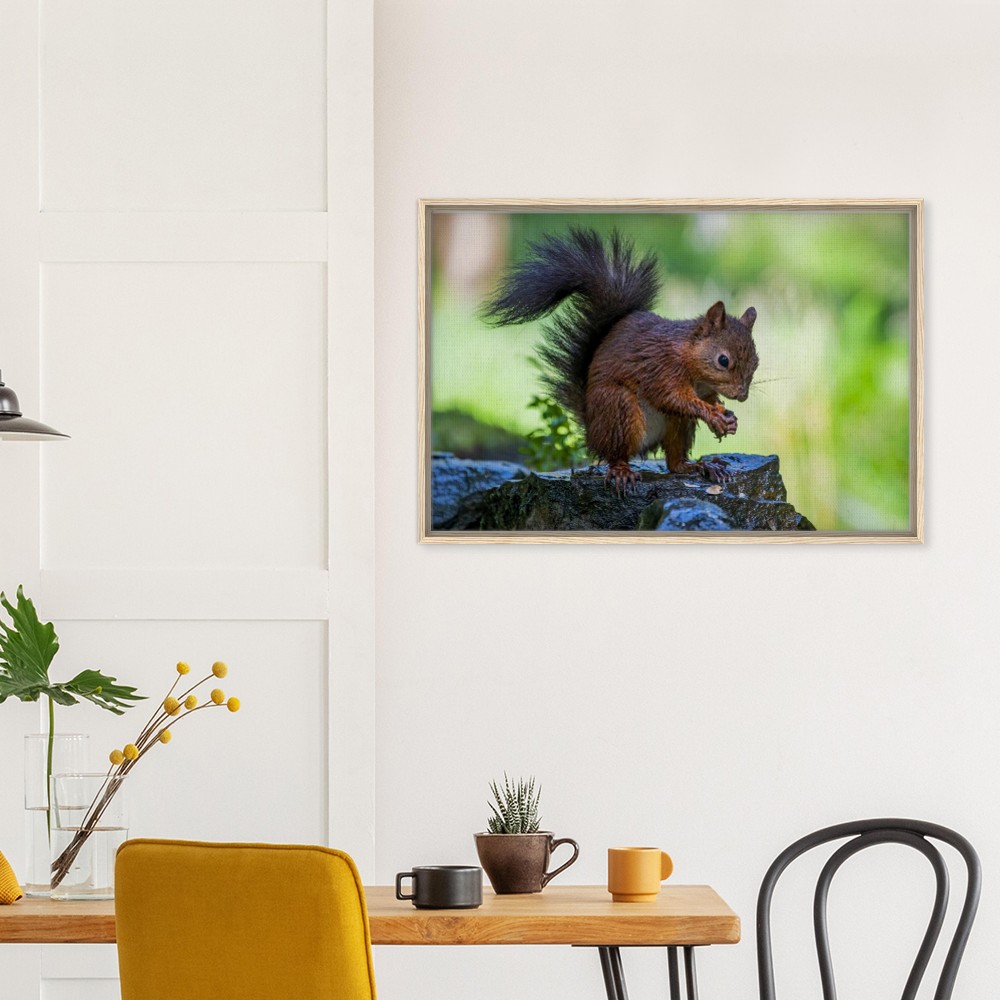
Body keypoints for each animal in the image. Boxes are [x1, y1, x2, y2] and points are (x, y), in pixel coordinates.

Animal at [483, 227, 759, 493]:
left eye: (756, 362)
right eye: (723, 360)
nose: (742, 395)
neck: (691, 361)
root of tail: (592, 430)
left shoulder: (702, 388)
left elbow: (705, 400)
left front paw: (727, 417)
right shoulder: (661, 368)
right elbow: (673, 397)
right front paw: (713, 415)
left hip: (677, 425)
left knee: (674, 461)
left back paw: (701, 466)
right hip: (618, 409)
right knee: (616, 454)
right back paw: (622, 471)